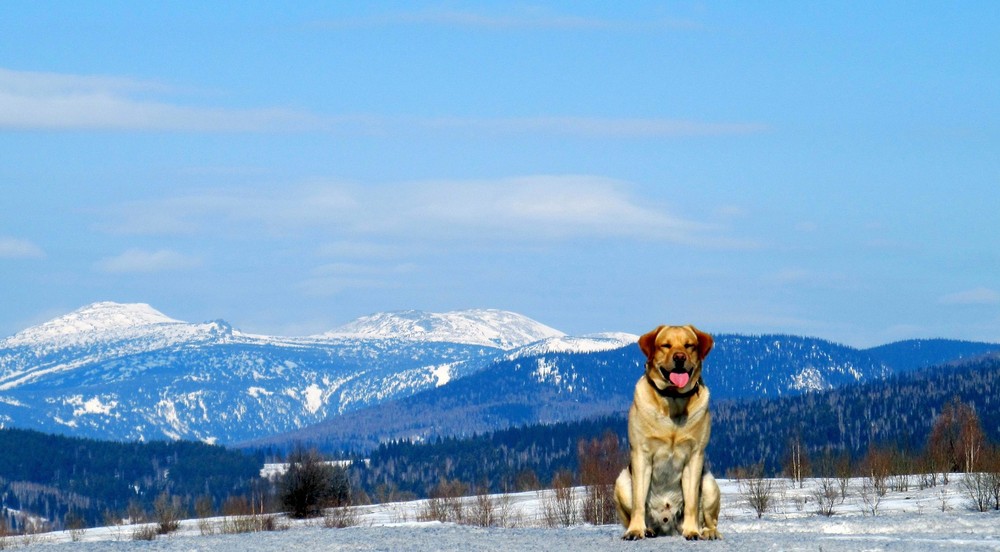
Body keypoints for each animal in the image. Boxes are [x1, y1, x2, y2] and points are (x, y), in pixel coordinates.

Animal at [612, 324, 724, 540]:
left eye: (689, 345)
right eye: (665, 345)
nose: (680, 357)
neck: (673, 400)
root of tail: (666, 524)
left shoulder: (695, 457)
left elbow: (691, 502)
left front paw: (692, 531)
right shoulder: (641, 455)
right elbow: (639, 502)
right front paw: (635, 530)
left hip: (709, 483)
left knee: (709, 518)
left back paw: (708, 532)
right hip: (621, 481)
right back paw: (647, 529)